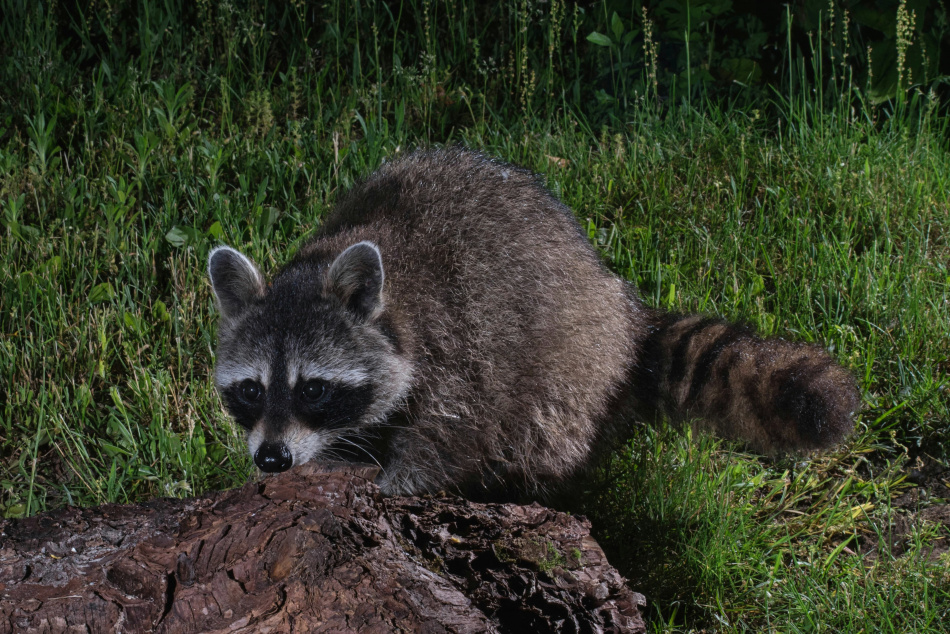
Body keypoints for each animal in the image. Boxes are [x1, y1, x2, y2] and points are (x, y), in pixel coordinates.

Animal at [208, 147, 864, 494]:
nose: (271, 459)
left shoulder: (460, 351)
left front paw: (395, 483)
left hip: (574, 369)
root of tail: (620, 303)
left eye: (314, 388)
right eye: (251, 389)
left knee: (544, 431)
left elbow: (448, 441)